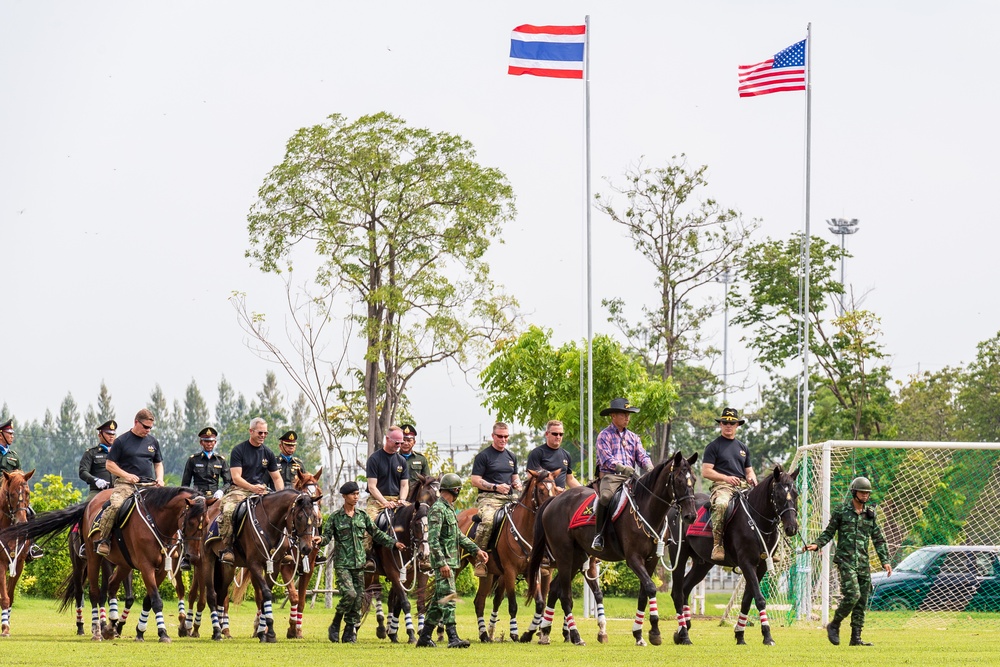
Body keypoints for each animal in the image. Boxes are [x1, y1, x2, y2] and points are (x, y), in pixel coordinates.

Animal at [199, 490, 316, 640]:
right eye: (300, 516)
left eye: (314, 516)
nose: (307, 548)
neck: (268, 523)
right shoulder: (254, 564)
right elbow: (265, 593)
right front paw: (269, 631)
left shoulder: (275, 565)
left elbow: (265, 596)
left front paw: (263, 632)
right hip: (207, 558)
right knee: (212, 595)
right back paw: (217, 631)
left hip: (228, 567)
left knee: (222, 593)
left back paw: (221, 629)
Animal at [528, 454, 700, 648]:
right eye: (679, 480)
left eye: (693, 480)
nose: (691, 515)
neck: (646, 510)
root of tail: (554, 501)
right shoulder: (633, 559)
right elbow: (651, 588)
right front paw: (655, 631)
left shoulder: (651, 561)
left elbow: (643, 594)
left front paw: (639, 634)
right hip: (564, 556)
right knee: (565, 595)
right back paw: (576, 636)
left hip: (576, 558)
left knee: (555, 588)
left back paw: (545, 632)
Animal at [668, 464, 800, 648]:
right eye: (779, 495)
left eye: (796, 494)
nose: (792, 527)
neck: (756, 521)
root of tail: (676, 507)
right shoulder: (746, 563)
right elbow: (759, 599)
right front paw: (767, 636)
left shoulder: (761, 567)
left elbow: (747, 599)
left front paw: (740, 634)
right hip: (678, 556)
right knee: (677, 592)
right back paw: (684, 633)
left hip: (703, 564)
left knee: (685, 588)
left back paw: (684, 627)